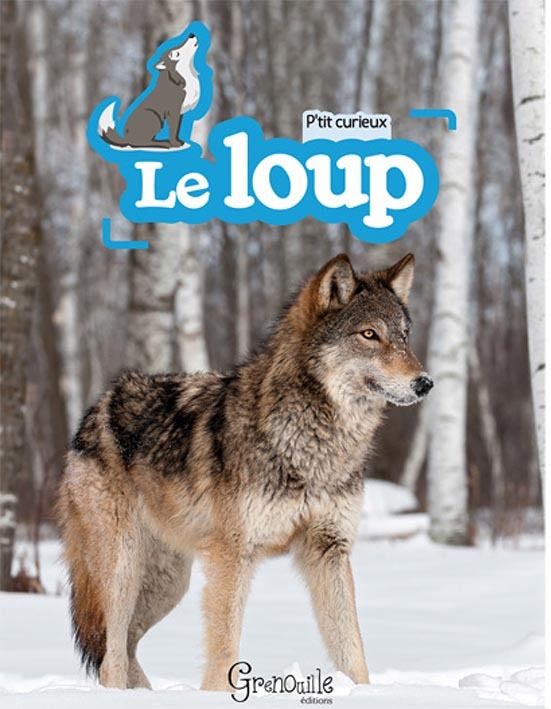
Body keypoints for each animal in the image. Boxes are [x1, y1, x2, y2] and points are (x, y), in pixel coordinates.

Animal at [57, 253, 433, 691]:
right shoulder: (232, 557)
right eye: (369, 334)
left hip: (169, 584)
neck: (312, 443)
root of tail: (95, 408)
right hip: (123, 571)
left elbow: (352, 650)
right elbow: (223, 653)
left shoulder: (329, 550)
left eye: (404, 336)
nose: (425, 382)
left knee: (127, 647)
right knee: (111, 657)